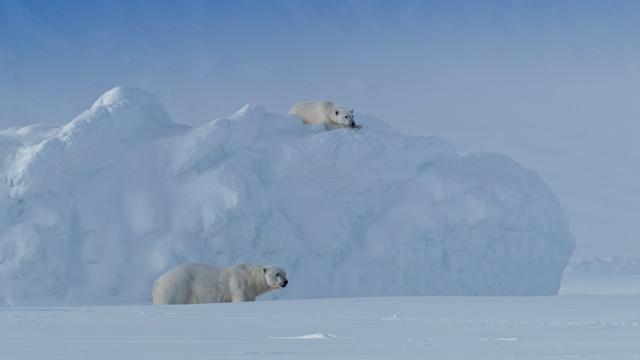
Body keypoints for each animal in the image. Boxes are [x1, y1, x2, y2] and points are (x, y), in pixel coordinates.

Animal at [152, 262, 288, 304]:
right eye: (277, 274)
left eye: (285, 273)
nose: (285, 282)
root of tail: (157, 281)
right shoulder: (238, 284)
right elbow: (240, 299)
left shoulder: (250, 292)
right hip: (176, 288)